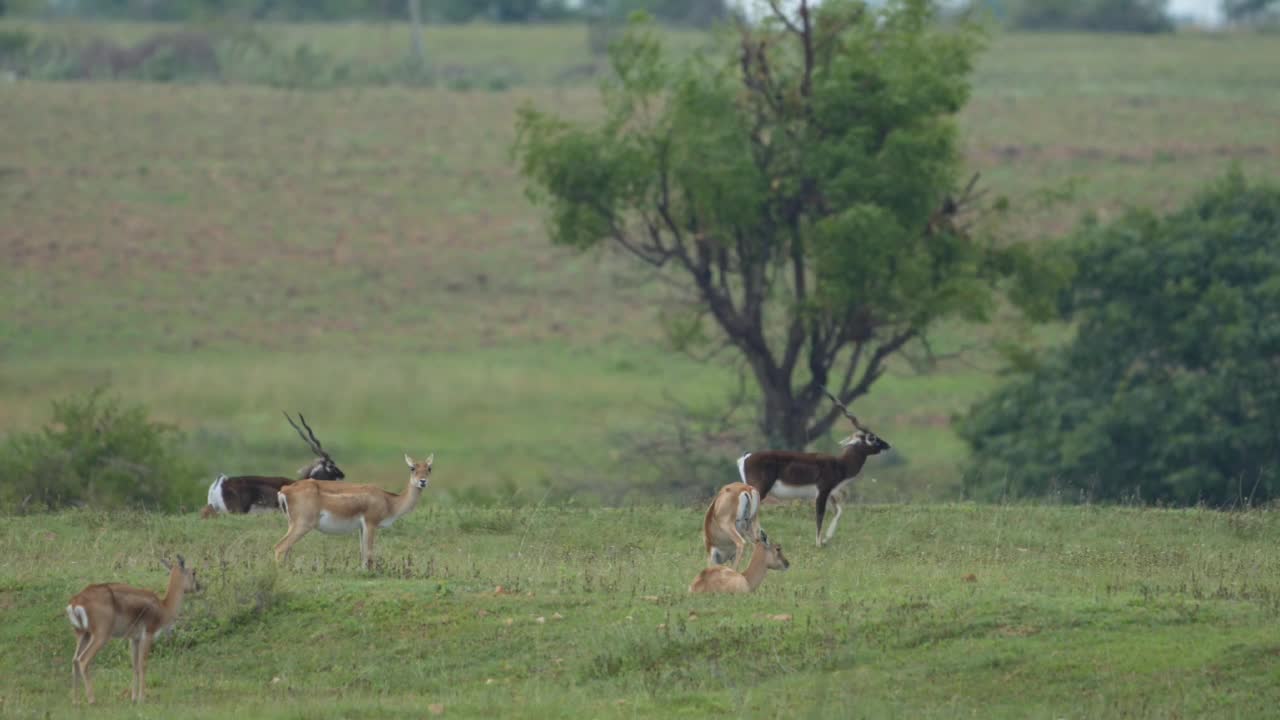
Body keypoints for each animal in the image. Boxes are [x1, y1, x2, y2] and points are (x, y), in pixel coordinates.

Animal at [65, 556, 199, 702]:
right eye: (194, 572)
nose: (200, 587)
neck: (163, 607)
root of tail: (77, 601)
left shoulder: (134, 639)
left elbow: (134, 666)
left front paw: (134, 698)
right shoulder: (148, 635)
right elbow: (143, 664)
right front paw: (142, 698)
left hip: (83, 635)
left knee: (74, 660)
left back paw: (76, 701)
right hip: (100, 636)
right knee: (83, 660)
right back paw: (92, 700)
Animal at [275, 450, 435, 568]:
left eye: (429, 468)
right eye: (412, 468)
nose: (422, 481)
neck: (389, 501)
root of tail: (286, 490)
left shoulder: (361, 528)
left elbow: (363, 553)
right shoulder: (371, 523)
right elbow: (369, 553)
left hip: (292, 524)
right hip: (303, 524)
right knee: (280, 547)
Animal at [742, 386, 890, 543]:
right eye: (871, 438)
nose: (887, 445)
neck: (839, 464)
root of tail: (747, 456)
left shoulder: (830, 492)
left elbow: (839, 511)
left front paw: (827, 539)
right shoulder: (823, 491)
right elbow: (820, 515)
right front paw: (819, 543)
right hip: (760, 490)